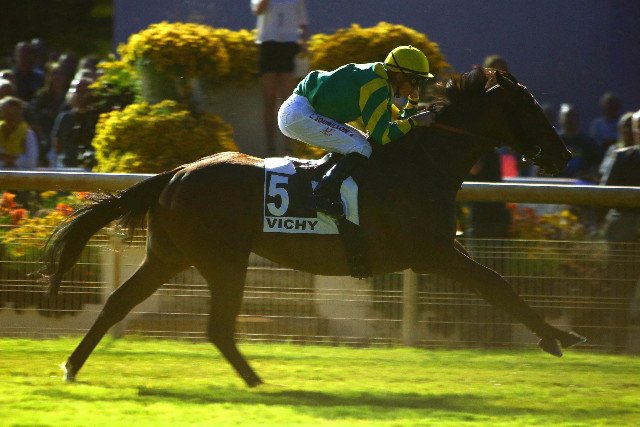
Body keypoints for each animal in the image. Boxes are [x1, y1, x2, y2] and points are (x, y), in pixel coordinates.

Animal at [43, 67, 585, 387]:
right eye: (530, 108)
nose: (564, 154)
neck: (420, 164)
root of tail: (174, 174)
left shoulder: (438, 251)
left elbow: (496, 284)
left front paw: (557, 333)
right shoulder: (431, 252)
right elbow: (496, 284)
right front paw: (558, 336)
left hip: (169, 255)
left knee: (119, 302)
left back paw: (72, 366)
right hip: (222, 260)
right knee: (216, 326)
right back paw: (255, 381)